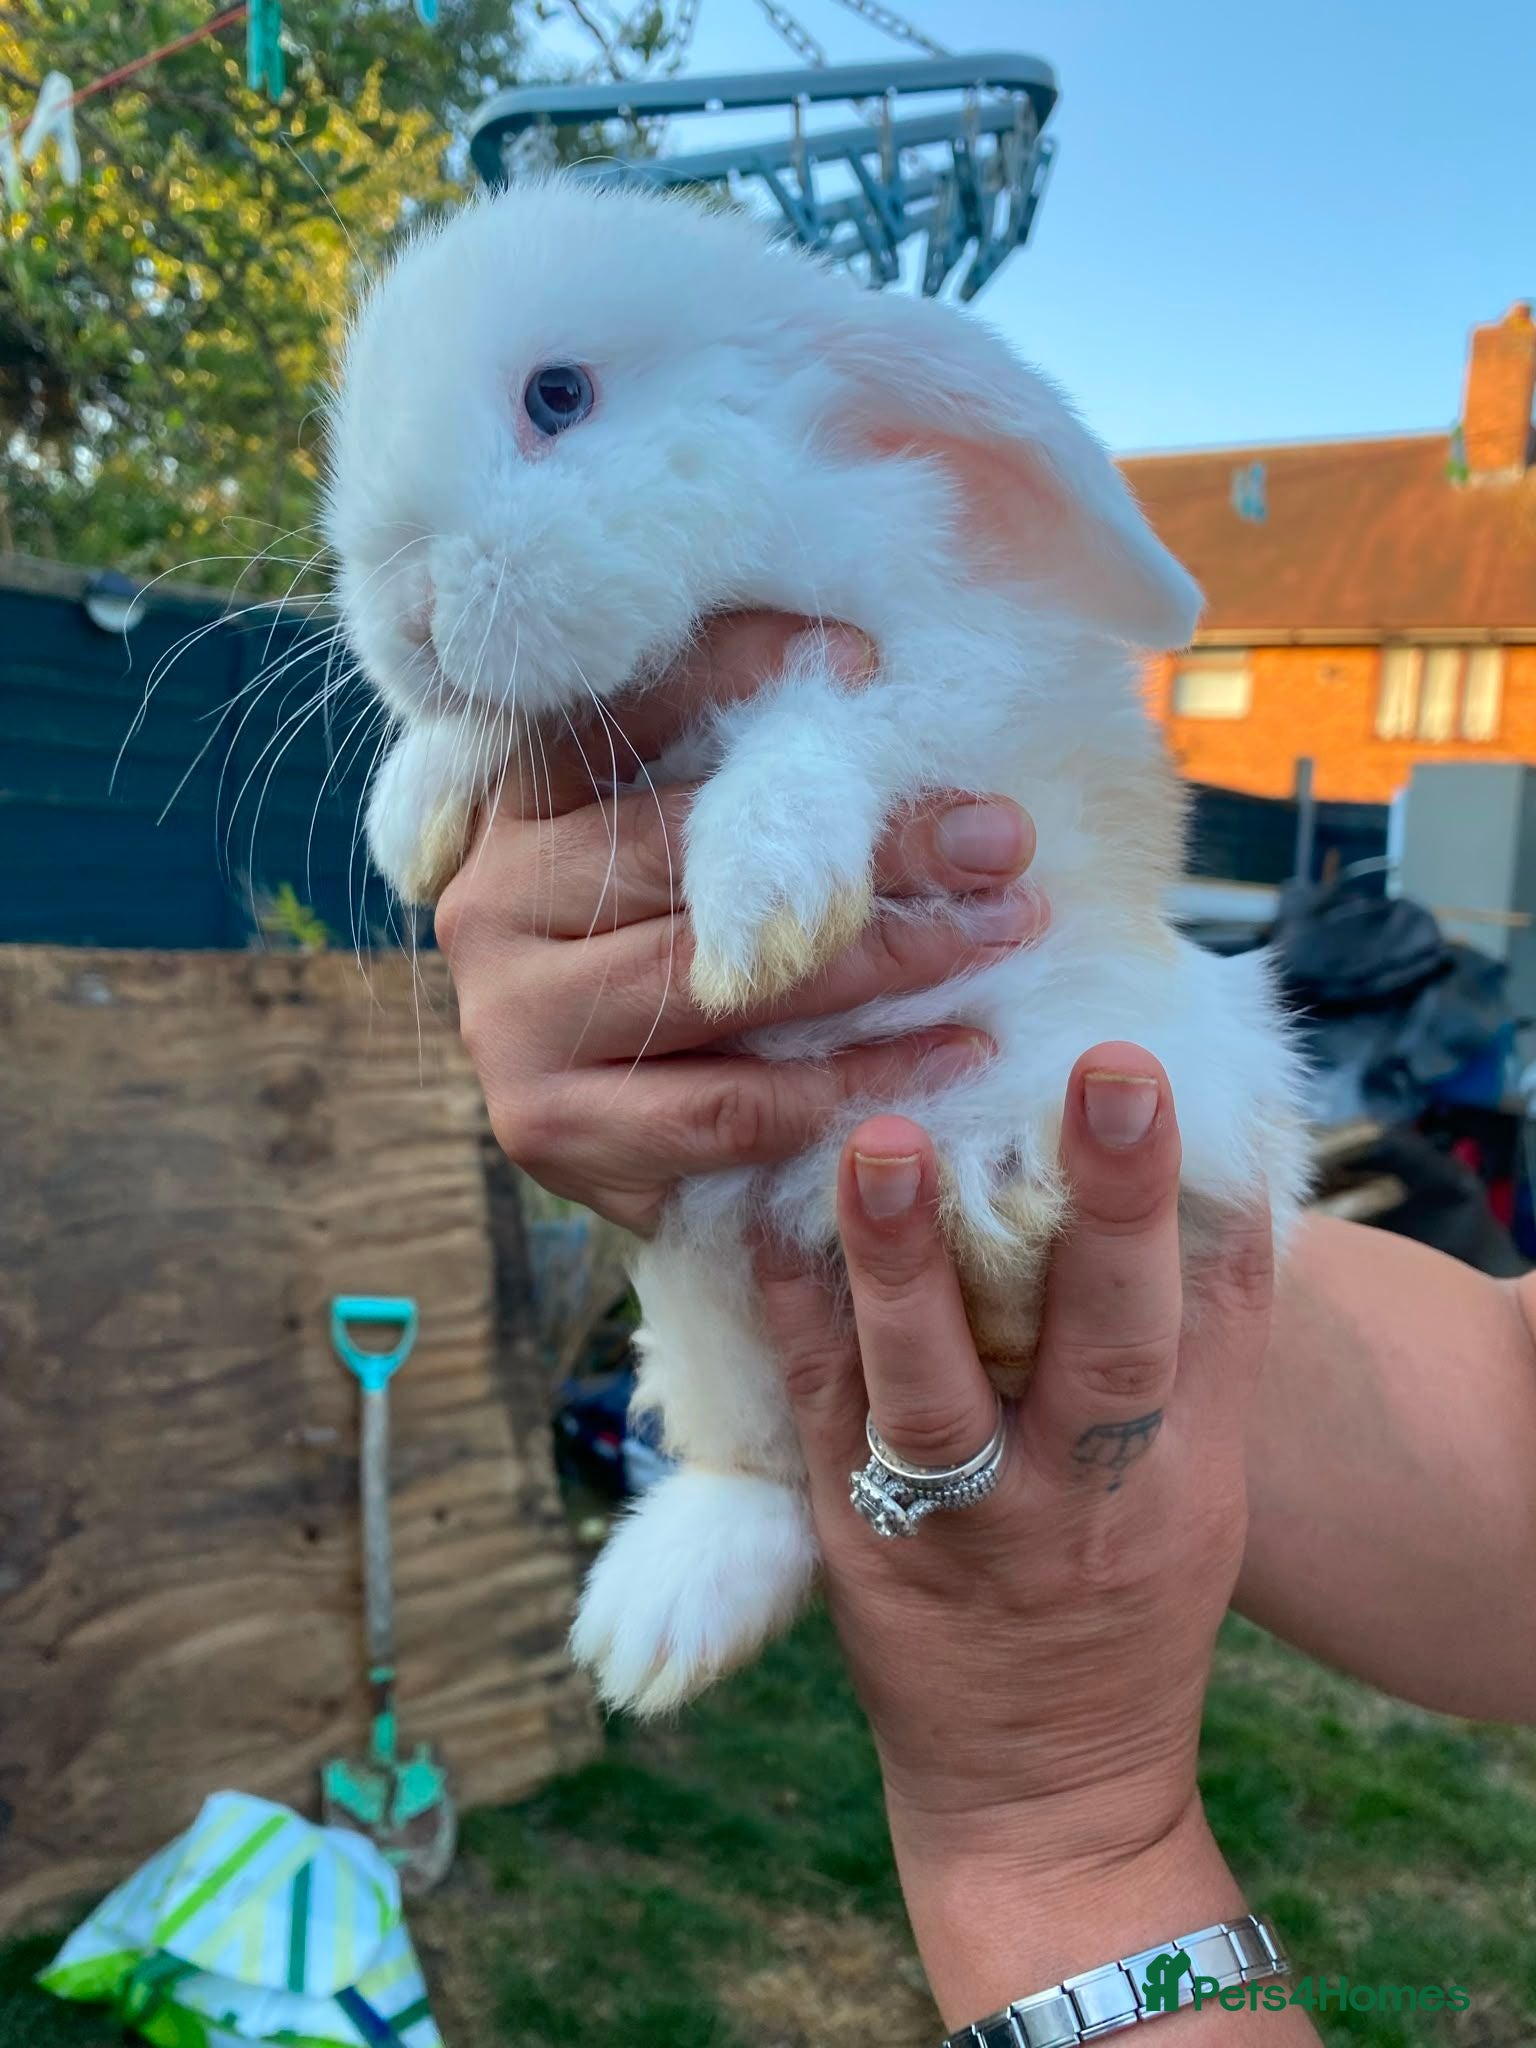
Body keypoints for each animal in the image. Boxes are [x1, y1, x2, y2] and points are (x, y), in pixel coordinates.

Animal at [325, 174, 1310, 1718]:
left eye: (558, 395)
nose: (403, 609)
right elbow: (490, 733)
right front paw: (409, 813)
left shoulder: (955, 681)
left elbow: (831, 714)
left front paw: (758, 900)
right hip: (709, 1300)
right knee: (770, 1476)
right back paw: (651, 1630)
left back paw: (1003, 1211)